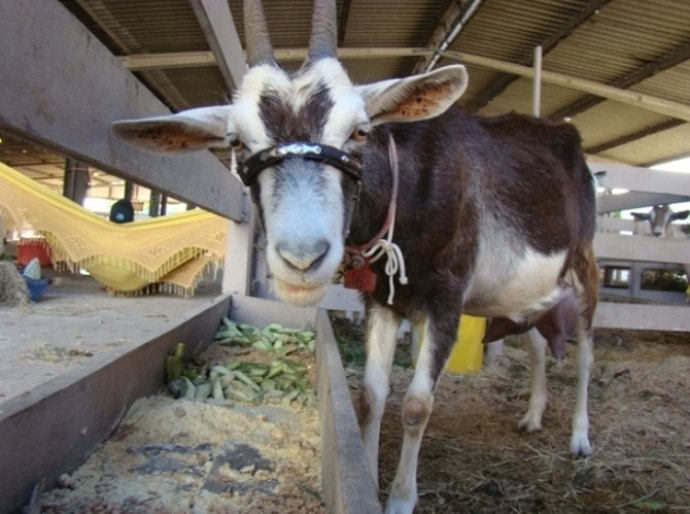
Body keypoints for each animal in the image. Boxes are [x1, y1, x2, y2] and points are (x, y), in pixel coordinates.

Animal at [111, 1, 599, 512]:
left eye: (361, 131)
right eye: (236, 142)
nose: (302, 259)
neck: (409, 192)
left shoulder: (447, 298)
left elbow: (417, 405)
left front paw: (401, 500)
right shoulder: (383, 300)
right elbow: (370, 394)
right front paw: (365, 469)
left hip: (584, 267)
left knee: (586, 352)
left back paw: (580, 439)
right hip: (529, 293)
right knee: (539, 343)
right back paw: (533, 415)